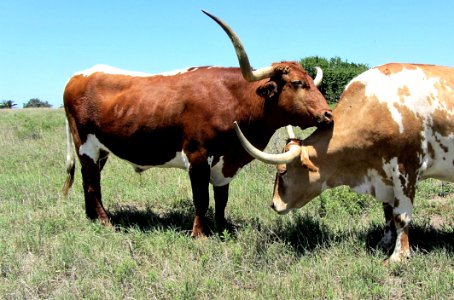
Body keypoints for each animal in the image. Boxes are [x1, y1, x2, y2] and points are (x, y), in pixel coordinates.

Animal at [62, 11, 332, 237]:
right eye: (297, 83)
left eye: (311, 81)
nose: (329, 115)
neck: (233, 99)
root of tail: (76, 76)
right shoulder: (197, 156)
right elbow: (201, 198)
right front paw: (200, 235)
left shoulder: (226, 163)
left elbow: (221, 199)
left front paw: (224, 228)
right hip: (85, 145)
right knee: (92, 183)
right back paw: (106, 221)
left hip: (101, 149)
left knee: (89, 180)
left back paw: (91, 217)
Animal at [234, 63, 454, 262]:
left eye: (283, 171)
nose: (274, 204)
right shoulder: (383, 174)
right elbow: (388, 213)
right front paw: (384, 242)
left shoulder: (406, 168)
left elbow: (401, 216)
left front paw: (398, 256)